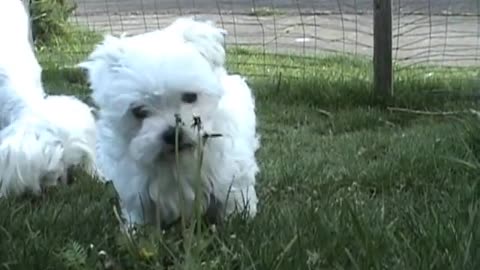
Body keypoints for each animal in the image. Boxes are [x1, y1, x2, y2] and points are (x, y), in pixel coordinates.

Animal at [79, 17, 260, 228]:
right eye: (139, 111)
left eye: (190, 97)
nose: (173, 133)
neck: (177, 161)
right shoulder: (136, 187)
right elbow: (140, 212)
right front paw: (135, 230)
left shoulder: (229, 170)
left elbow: (233, 197)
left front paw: (239, 219)